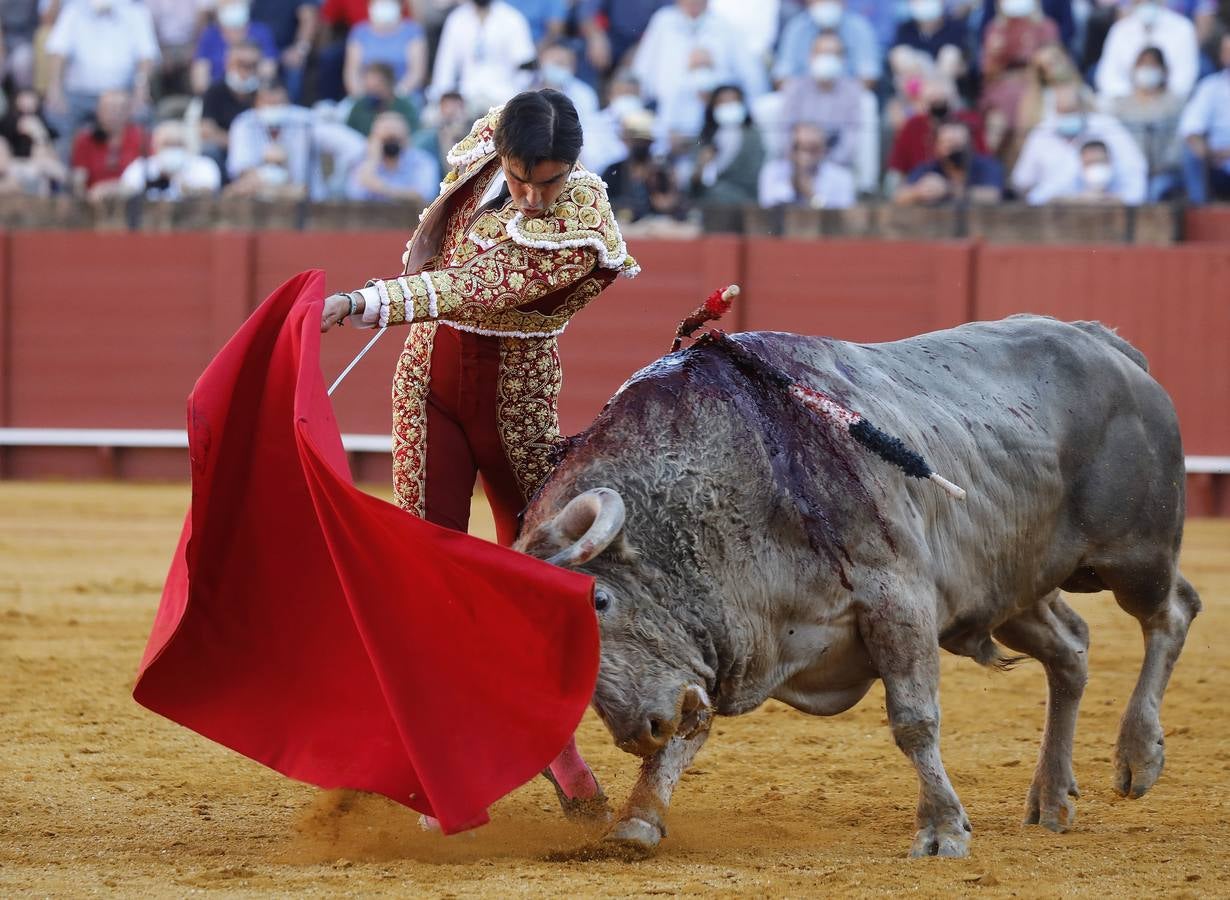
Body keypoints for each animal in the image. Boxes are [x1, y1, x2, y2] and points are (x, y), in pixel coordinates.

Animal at [516, 314, 1200, 855]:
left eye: (601, 600)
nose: (639, 731)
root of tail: (1105, 343)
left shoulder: (898, 601)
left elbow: (914, 720)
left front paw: (942, 830)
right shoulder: (712, 659)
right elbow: (691, 729)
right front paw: (637, 822)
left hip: (1134, 555)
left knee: (1172, 611)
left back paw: (1138, 757)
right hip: (1007, 592)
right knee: (1072, 649)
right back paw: (1053, 799)